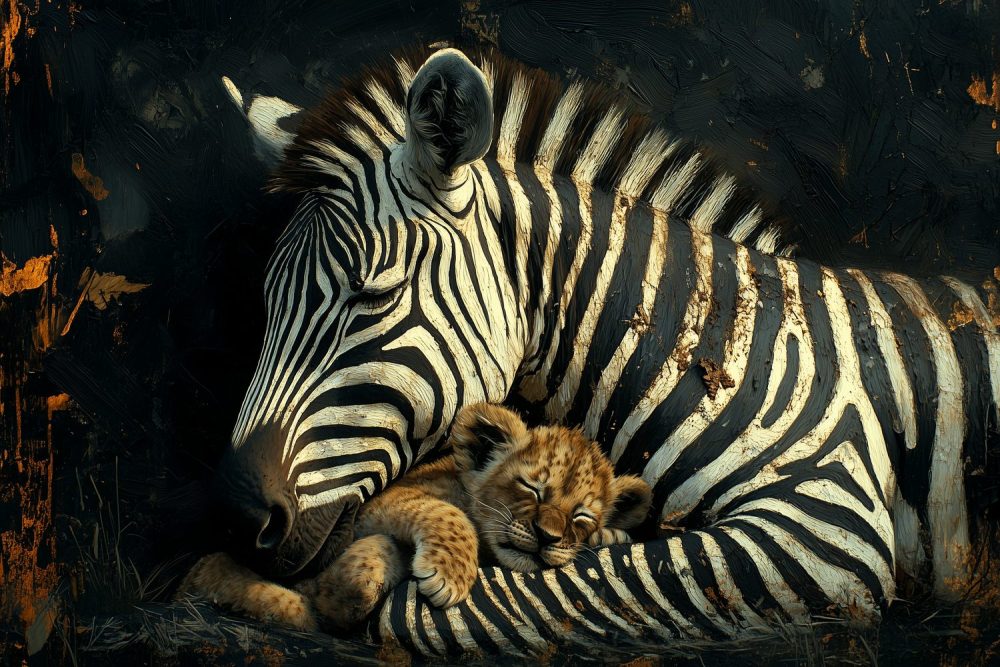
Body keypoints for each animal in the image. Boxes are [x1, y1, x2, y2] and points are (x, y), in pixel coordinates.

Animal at [215, 46, 1000, 656]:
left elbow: (524, 597)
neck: (716, 359)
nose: (242, 518)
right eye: (269, 300)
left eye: (369, 295)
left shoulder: (827, 519)